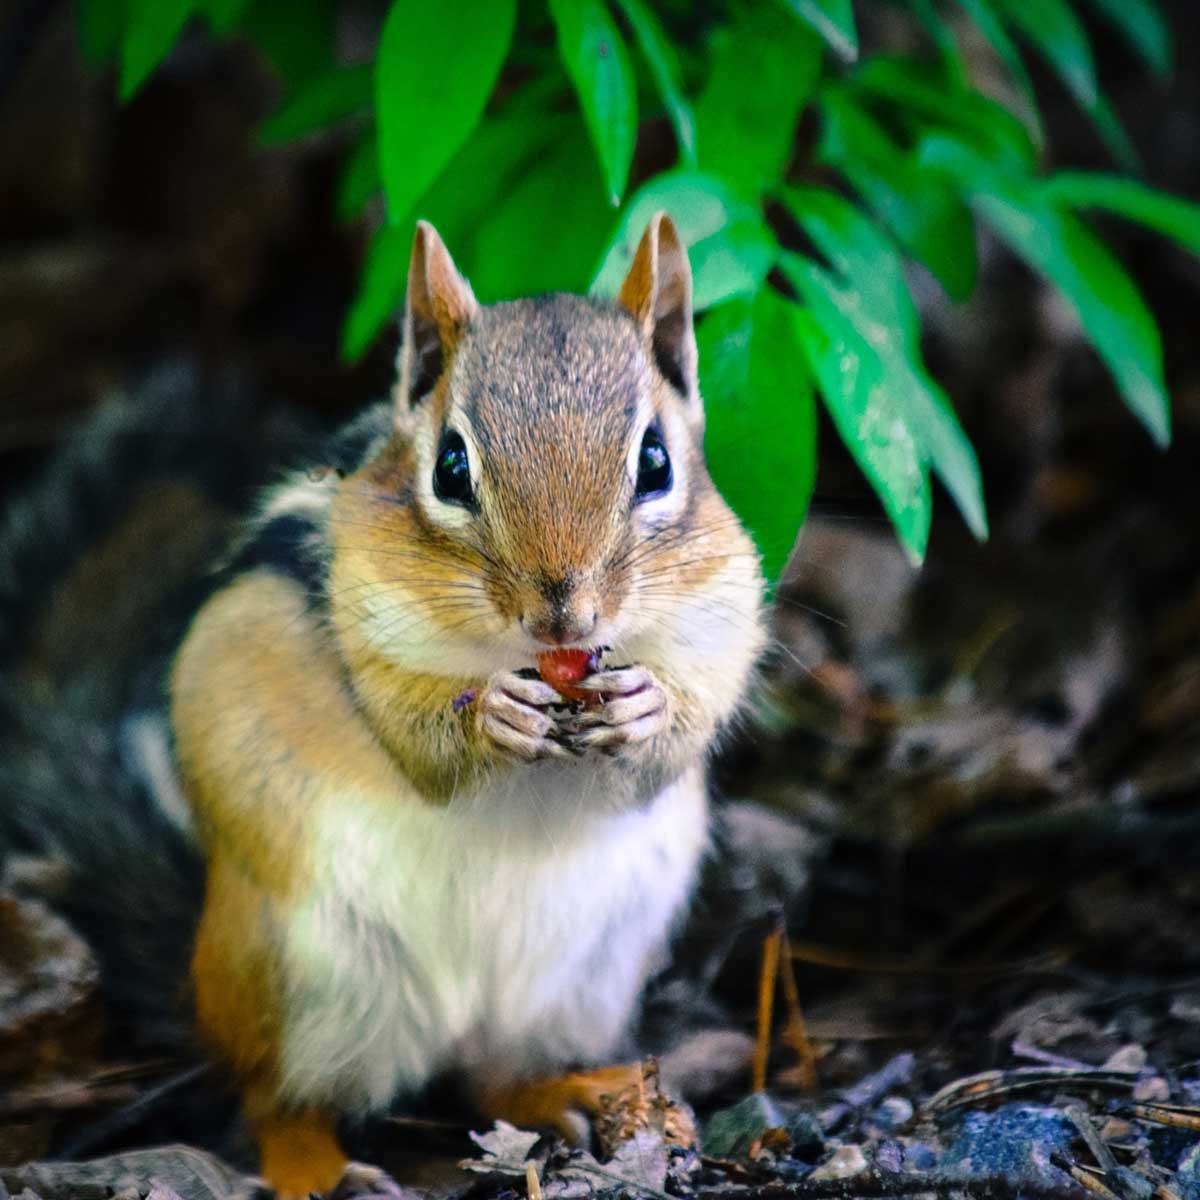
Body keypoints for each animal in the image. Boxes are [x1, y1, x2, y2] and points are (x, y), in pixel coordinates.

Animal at [2, 213, 767, 1198]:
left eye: (657, 461)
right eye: (451, 466)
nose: (564, 614)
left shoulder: (724, 616)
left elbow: (684, 725)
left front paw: (642, 705)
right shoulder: (361, 614)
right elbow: (412, 735)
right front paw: (490, 716)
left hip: (580, 979)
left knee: (492, 1077)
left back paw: (575, 1091)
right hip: (302, 972)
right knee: (277, 1098)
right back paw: (317, 1168)